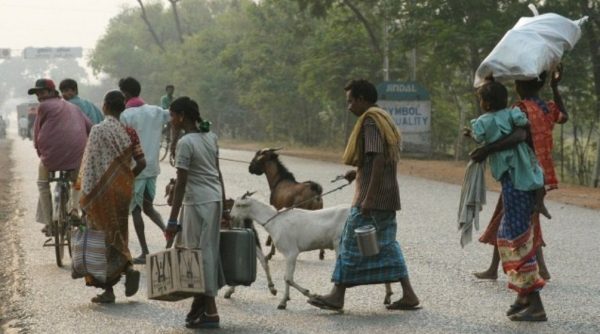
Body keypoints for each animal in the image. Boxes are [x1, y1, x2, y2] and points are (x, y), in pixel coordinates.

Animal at [230, 194, 394, 310]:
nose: (230, 216)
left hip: (343, 242)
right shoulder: (289, 254)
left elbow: (288, 278)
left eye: (238, 205)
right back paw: (388, 294)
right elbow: (287, 277)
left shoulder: (291, 252)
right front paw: (285, 301)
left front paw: (306, 295)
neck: (275, 221)